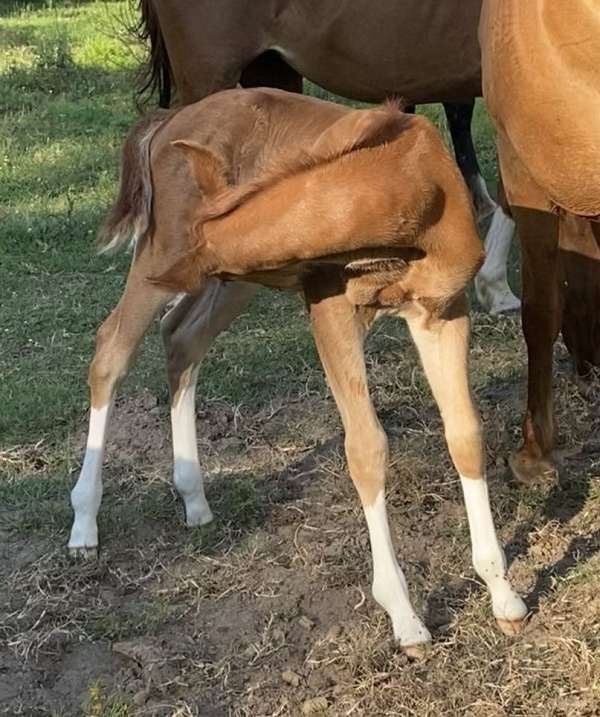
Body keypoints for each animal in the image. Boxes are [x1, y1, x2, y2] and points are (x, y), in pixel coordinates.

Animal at [68, 88, 527, 653]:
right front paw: (404, 617)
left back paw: (193, 498)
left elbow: (465, 433)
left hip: (227, 286)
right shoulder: (331, 309)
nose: (176, 268)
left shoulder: (441, 313)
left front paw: (504, 595)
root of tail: (168, 119)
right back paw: (84, 523)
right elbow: (366, 447)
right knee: (111, 352)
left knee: (180, 337)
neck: (409, 185)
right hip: (162, 262)